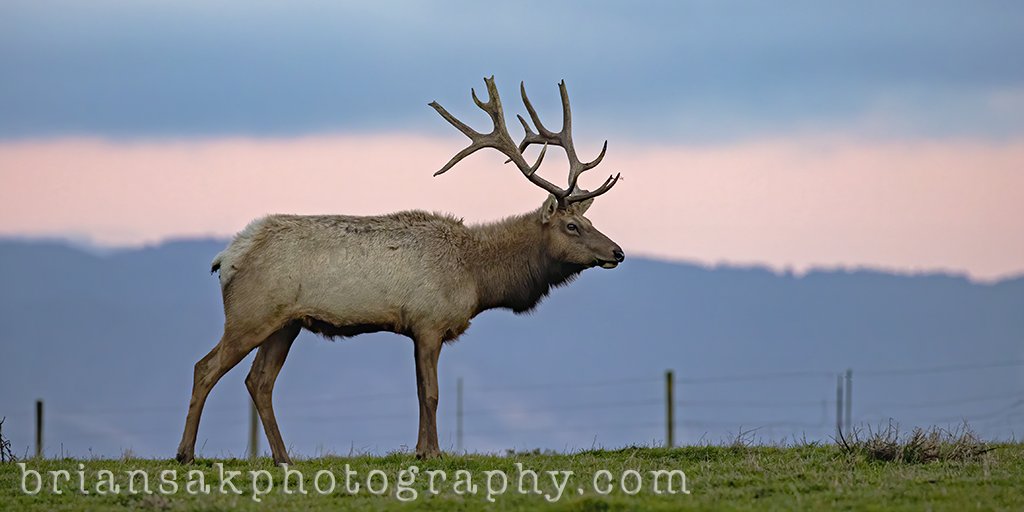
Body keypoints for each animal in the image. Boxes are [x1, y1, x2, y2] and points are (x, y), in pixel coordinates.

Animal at [175, 76, 624, 464]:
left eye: (588, 219)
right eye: (572, 226)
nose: (617, 252)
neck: (478, 278)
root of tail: (227, 257)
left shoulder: (415, 328)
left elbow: (421, 390)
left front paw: (422, 450)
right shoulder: (429, 321)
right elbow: (432, 393)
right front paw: (434, 453)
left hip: (285, 323)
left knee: (259, 381)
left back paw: (283, 458)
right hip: (251, 314)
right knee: (205, 368)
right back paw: (186, 454)